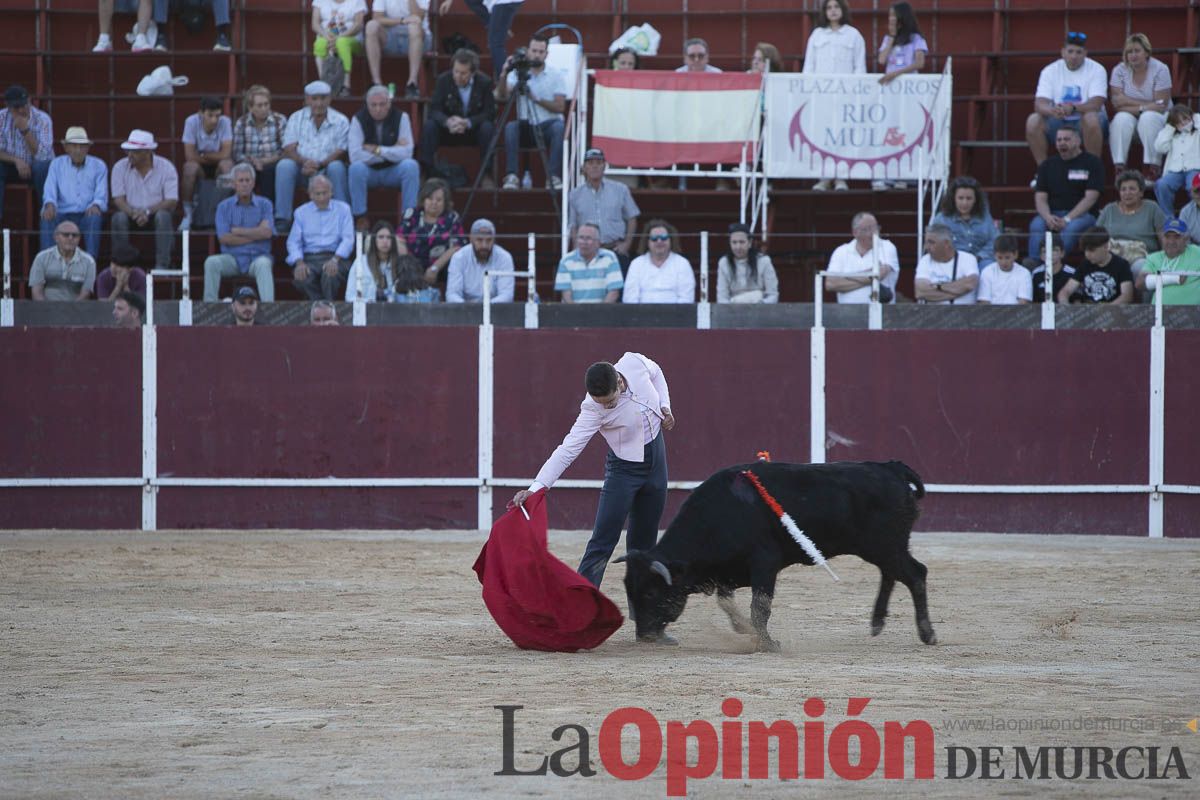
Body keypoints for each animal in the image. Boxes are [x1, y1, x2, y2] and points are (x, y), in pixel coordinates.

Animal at [619, 460, 936, 652]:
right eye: (629, 592)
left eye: (650, 593)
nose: (643, 635)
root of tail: (891, 468)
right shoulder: (727, 572)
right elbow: (727, 602)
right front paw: (744, 629)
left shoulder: (764, 565)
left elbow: (760, 607)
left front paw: (767, 644)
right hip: (882, 548)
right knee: (892, 573)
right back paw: (877, 623)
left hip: (885, 545)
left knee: (915, 573)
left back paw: (927, 634)